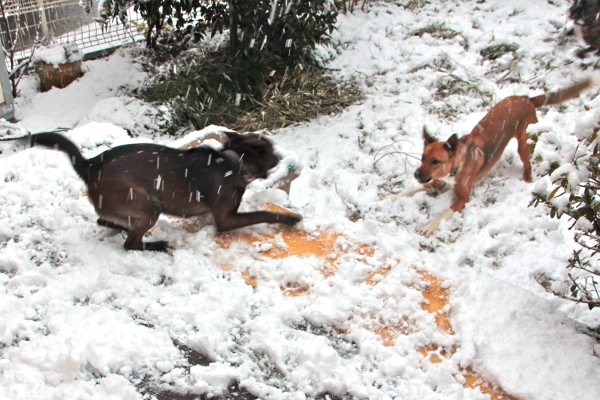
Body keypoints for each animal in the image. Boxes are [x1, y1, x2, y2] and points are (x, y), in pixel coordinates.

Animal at [0, 131, 300, 250]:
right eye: (268, 149)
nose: (282, 156)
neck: (233, 160)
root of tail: (89, 164)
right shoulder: (226, 219)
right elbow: (263, 213)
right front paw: (290, 218)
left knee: (105, 221)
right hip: (149, 206)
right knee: (129, 245)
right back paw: (155, 245)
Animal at [386, 74, 596, 236]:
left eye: (436, 161)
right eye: (422, 158)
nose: (417, 174)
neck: (456, 167)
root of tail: (526, 98)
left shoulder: (462, 199)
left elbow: (442, 213)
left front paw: (430, 226)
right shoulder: (436, 181)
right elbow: (410, 190)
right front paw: (390, 198)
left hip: (524, 142)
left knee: (527, 164)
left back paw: (527, 182)